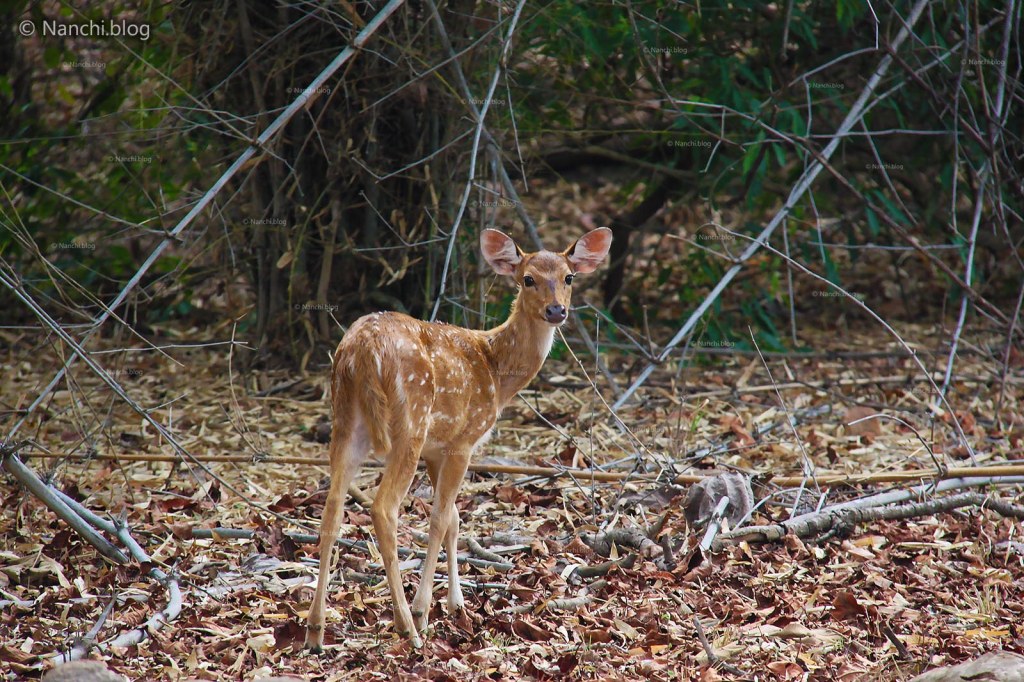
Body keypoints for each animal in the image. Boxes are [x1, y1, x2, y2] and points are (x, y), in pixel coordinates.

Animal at [304, 227, 612, 650]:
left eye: (569, 277)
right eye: (527, 279)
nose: (556, 311)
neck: (497, 371)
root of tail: (362, 350)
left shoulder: (439, 448)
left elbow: (453, 518)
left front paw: (456, 603)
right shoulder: (464, 440)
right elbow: (439, 518)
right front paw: (425, 609)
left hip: (347, 421)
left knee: (332, 507)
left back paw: (315, 630)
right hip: (410, 423)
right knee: (384, 508)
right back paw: (407, 625)